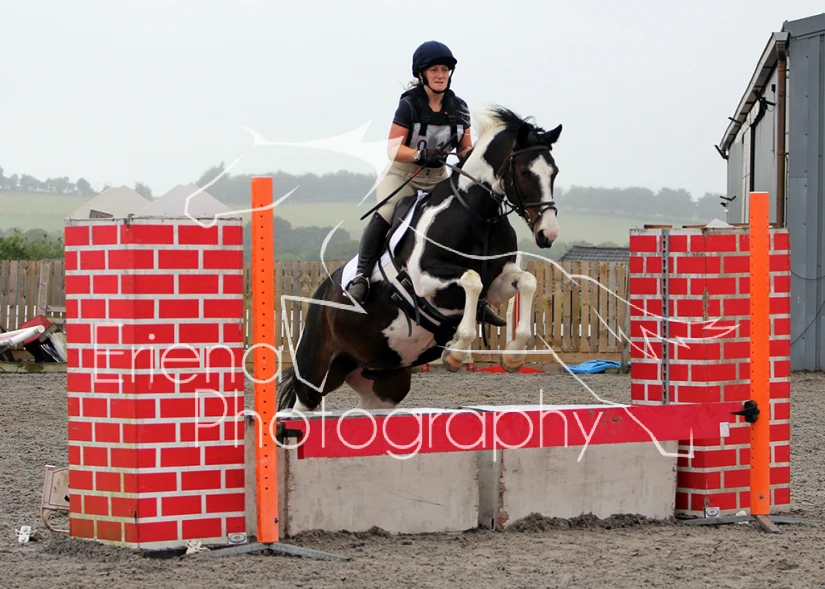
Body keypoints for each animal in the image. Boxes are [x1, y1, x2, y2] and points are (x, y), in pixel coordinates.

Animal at [277, 106, 562, 412]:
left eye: (554, 172)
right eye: (524, 172)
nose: (548, 233)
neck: (477, 214)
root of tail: (320, 294)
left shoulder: (497, 283)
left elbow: (527, 282)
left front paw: (513, 356)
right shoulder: (423, 279)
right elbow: (471, 280)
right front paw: (456, 352)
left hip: (383, 382)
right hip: (315, 374)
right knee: (301, 406)